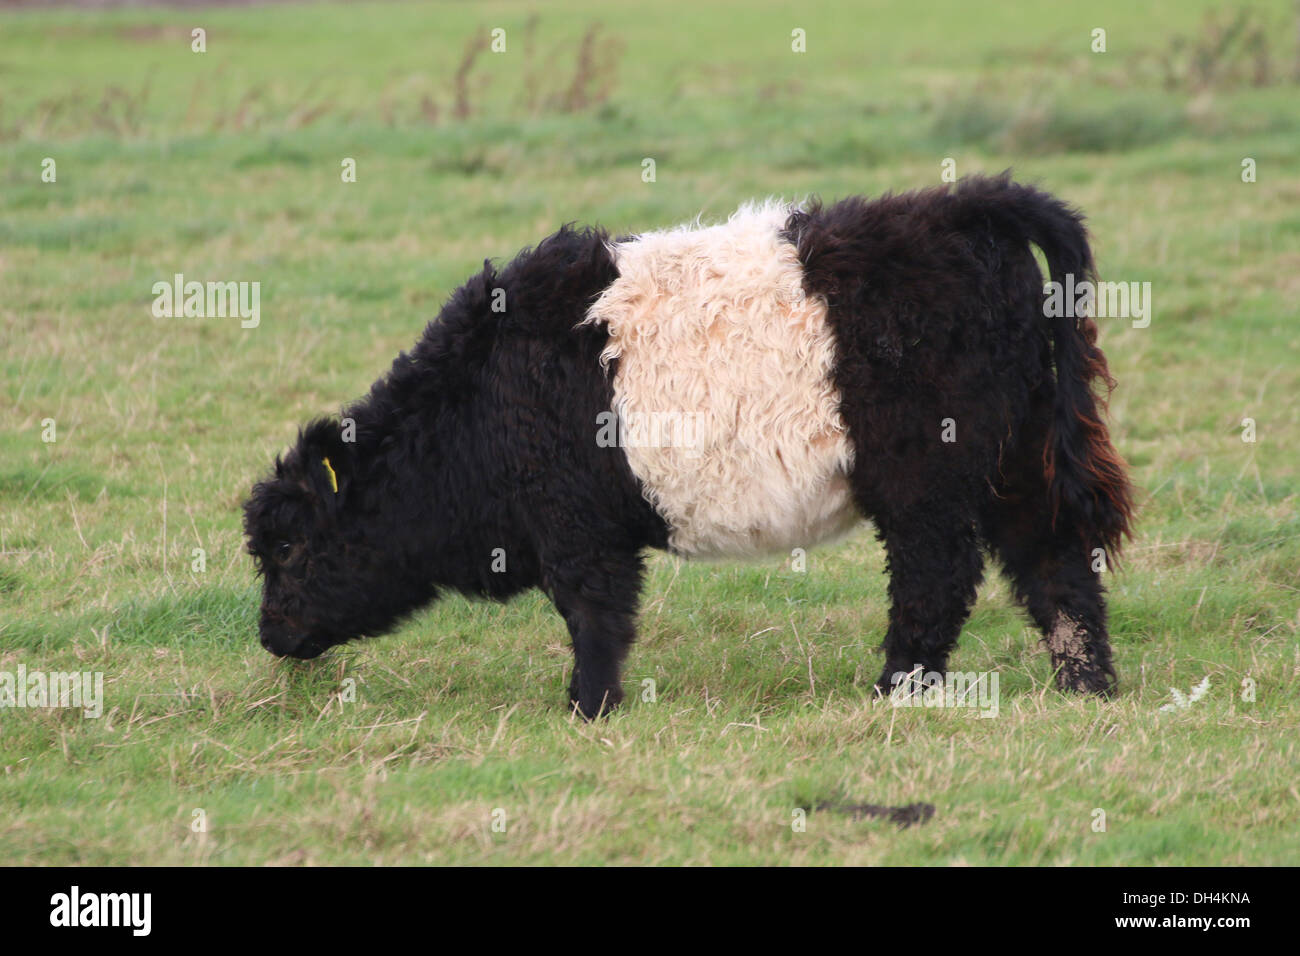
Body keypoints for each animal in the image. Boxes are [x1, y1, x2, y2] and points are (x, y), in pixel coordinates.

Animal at [241, 174, 1128, 717]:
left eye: (288, 550)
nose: (270, 634)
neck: (479, 399)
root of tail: (966, 208)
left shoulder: (576, 528)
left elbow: (594, 616)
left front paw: (587, 707)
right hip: (1018, 457)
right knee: (1055, 564)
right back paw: (1085, 687)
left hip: (927, 482)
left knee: (938, 579)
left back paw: (894, 692)